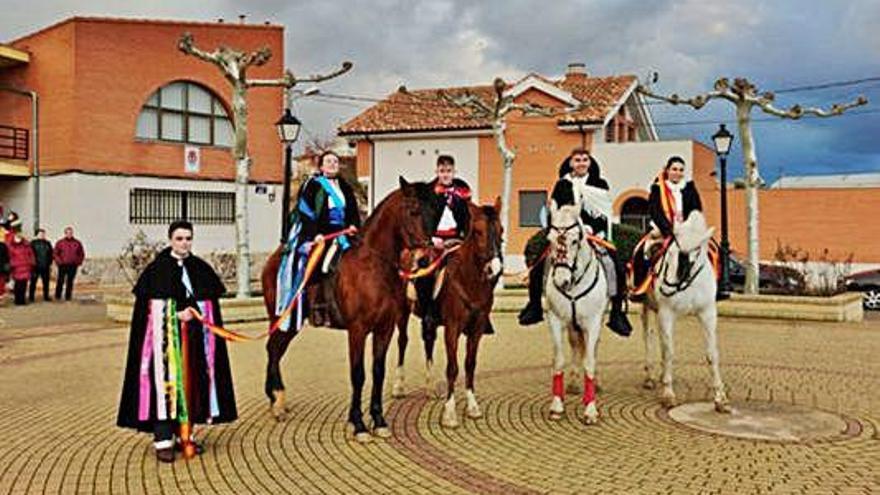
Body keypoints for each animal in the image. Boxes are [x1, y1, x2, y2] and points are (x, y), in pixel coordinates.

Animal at [260, 178, 440, 442]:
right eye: (413, 210)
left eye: (435, 211)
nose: (425, 258)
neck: (374, 266)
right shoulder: (357, 330)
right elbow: (358, 374)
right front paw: (358, 423)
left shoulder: (385, 328)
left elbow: (378, 371)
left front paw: (379, 420)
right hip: (284, 319)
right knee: (273, 350)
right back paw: (277, 402)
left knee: (275, 350)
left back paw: (276, 399)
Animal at [392, 200, 502, 428]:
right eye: (478, 231)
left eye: (501, 230)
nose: (493, 268)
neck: (469, 280)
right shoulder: (452, 329)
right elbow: (452, 368)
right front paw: (450, 413)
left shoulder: (476, 330)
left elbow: (469, 365)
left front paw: (472, 406)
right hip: (402, 312)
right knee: (402, 342)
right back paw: (399, 386)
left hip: (430, 322)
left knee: (428, 343)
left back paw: (430, 388)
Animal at [544, 203, 604, 424]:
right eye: (550, 240)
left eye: (574, 240)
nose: (562, 280)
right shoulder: (555, 320)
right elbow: (559, 360)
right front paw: (556, 406)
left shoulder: (593, 323)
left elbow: (590, 362)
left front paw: (590, 409)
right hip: (572, 325)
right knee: (576, 345)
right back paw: (574, 382)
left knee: (591, 350)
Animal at [636, 211, 732, 412]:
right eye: (673, 250)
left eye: (697, 251)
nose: (676, 280)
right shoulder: (667, 313)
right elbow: (669, 352)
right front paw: (668, 394)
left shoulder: (707, 313)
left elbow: (712, 353)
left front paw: (720, 398)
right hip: (648, 307)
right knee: (648, 337)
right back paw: (650, 377)